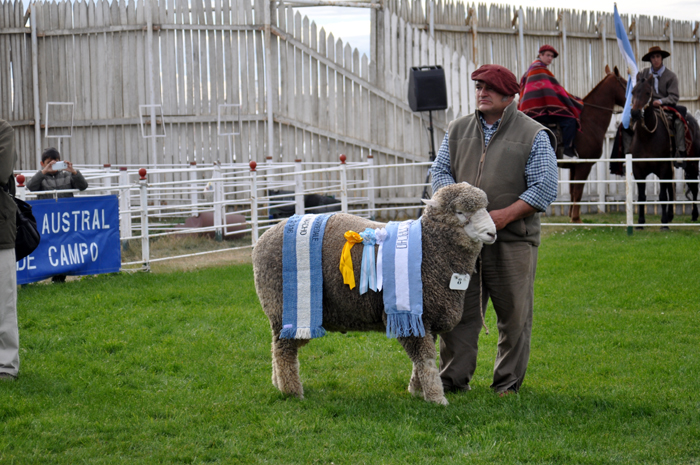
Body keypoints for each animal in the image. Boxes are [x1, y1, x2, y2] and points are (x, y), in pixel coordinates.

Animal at [252, 181, 498, 402]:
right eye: (460, 212)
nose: (492, 233)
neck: (430, 248)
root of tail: (263, 239)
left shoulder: (425, 316)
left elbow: (423, 359)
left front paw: (417, 389)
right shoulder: (409, 313)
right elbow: (425, 360)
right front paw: (436, 398)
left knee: (278, 347)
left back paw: (278, 384)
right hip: (285, 305)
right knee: (284, 351)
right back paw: (291, 391)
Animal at [564, 65, 628, 223]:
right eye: (626, 83)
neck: (588, 121)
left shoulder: (573, 167)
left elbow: (573, 191)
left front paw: (571, 216)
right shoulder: (583, 165)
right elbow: (578, 191)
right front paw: (576, 219)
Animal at [628, 75, 700, 227]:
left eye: (647, 93)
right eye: (633, 92)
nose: (635, 113)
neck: (647, 137)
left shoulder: (663, 168)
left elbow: (662, 195)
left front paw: (664, 224)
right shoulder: (638, 171)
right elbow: (642, 196)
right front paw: (640, 223)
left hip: (692, 164)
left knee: (694, 187)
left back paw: (694, 215)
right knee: (670, 189)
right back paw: (671, 215)